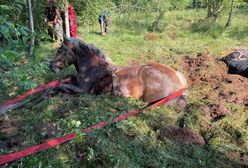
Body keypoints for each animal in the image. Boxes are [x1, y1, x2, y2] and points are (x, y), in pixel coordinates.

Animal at [49, 38, 187, 103]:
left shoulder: (82, 90)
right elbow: (63, 80)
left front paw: (51, 92)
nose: (50, 66)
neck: (90, 68)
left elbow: (62, 85)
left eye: (60, 50)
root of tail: (177, 76)